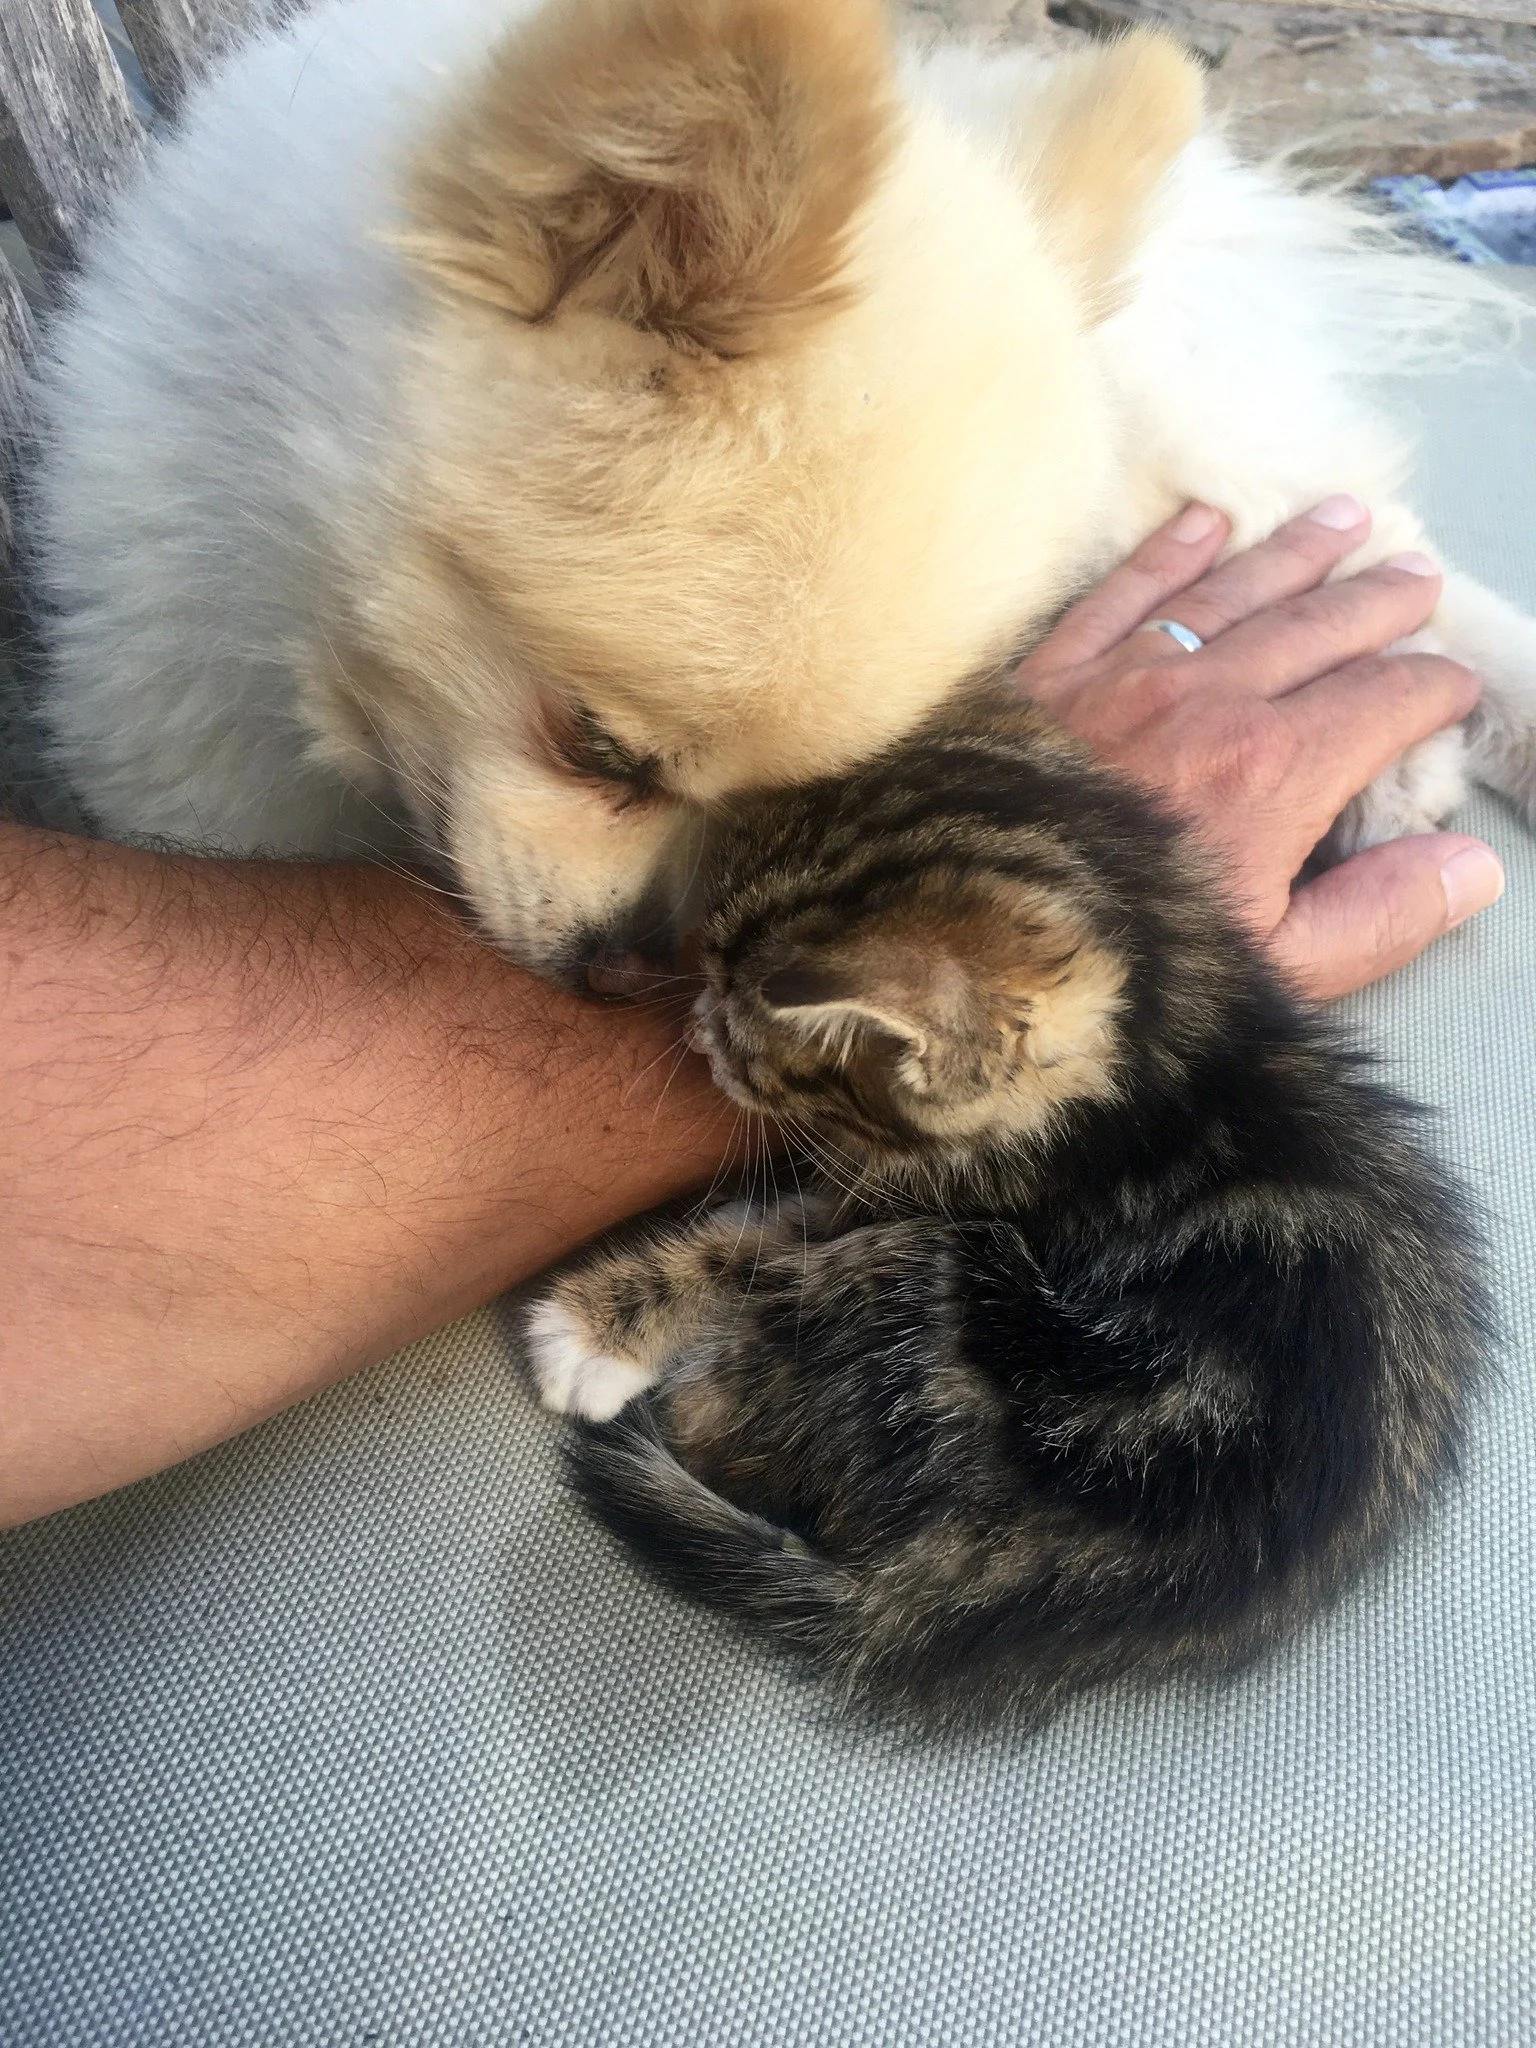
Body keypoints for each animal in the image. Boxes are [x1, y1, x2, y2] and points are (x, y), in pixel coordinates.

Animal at [524, 696, 1482, 1720]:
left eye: (753, 1047)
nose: (698, 1032)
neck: (1165, 1036)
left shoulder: (932, 1200)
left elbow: (746, 1250)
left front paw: (589, 1333)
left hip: (934, 1281)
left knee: (721, 1414)